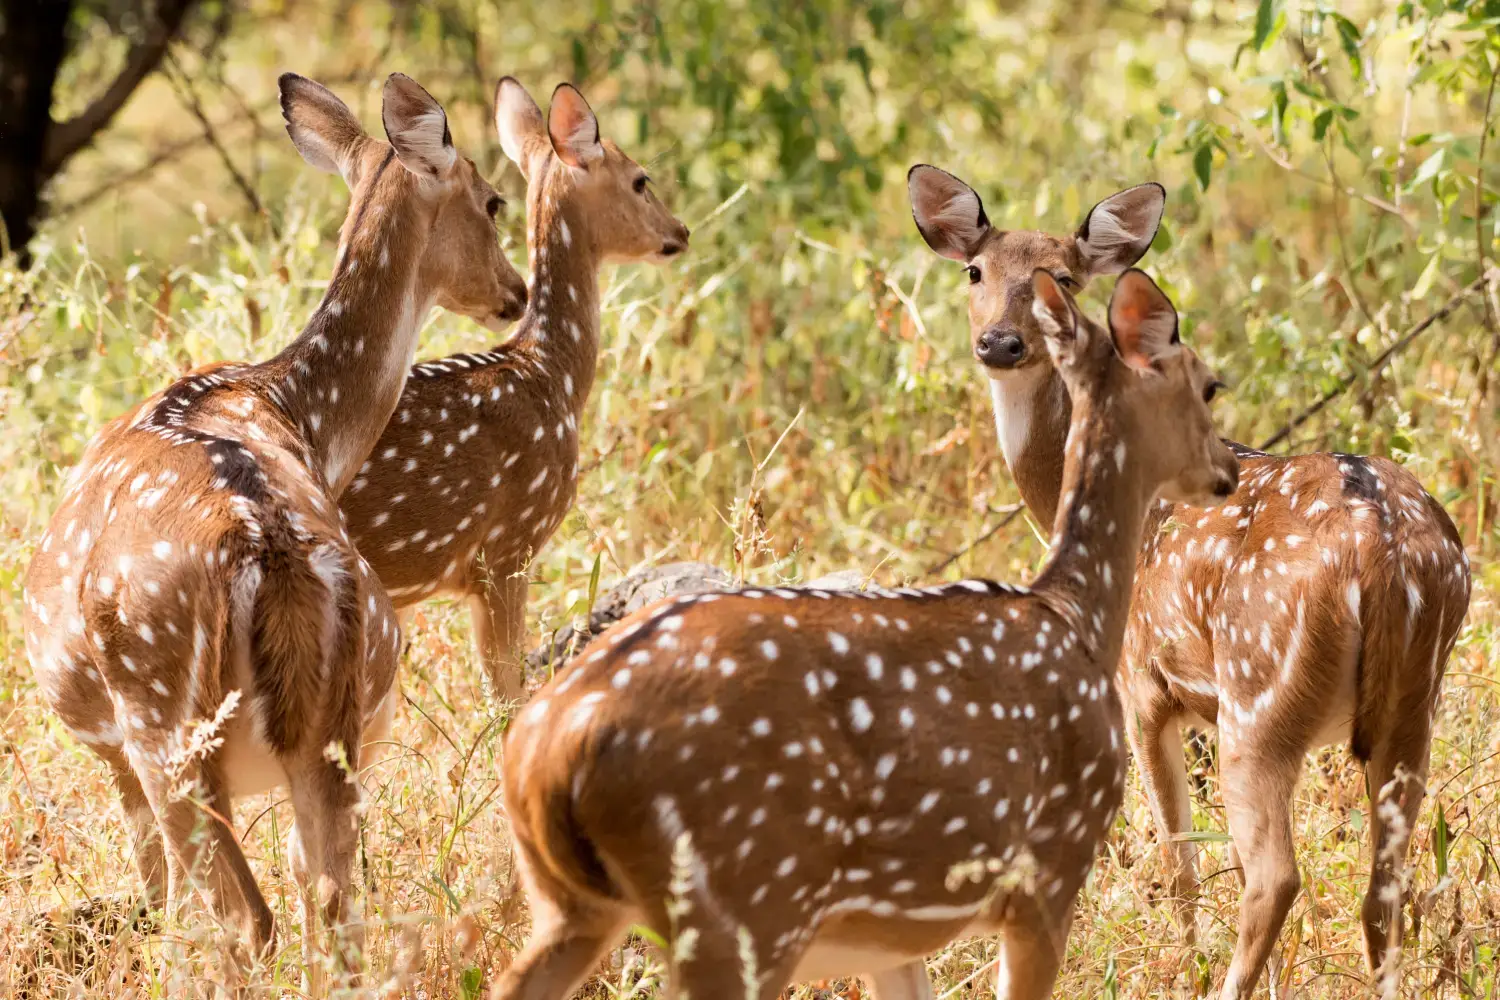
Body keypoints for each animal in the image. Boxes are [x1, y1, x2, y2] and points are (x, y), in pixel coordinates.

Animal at [17, 74, 528, 983]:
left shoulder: (108, 751)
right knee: (332, 908)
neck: (294, 413)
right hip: (334, 722)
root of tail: (267, 546)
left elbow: (163, 905)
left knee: (239, 919)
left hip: (164, 729)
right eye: (494, 199)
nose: (519, 290)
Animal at [486, 268, 1236, 1000]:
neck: (1077, 616)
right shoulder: (1053, 867)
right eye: (1208, 383)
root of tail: (549, 755)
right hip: (748, 909)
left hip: (571, 903)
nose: (1227, 470)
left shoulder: (890, 939)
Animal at [906, 160, 1470, 995]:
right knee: (1381, 887)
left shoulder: (1144, 683)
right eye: (975, 271)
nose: (1000, 342)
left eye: (1063, 278)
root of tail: (1384, 548)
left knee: (1275, 876)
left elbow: (1182, 861)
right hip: (1411, 707)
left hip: (1259, 697)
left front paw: (1192, 965)